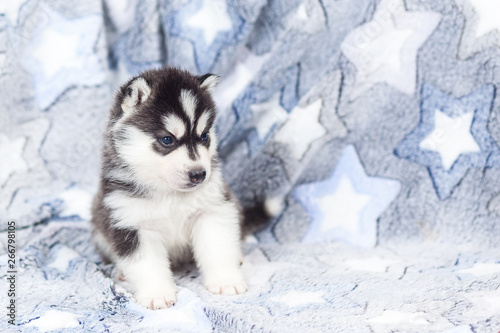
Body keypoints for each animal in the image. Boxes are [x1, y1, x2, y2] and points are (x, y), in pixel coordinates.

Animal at [92, 67, 248, 308]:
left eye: (204, 136)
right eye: (167, 140)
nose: (199, 174)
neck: (169, 192)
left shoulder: (212, 210)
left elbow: (218, 247)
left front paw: (225, 280)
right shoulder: (132, 224)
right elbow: (146, 264)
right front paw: (157, 294)